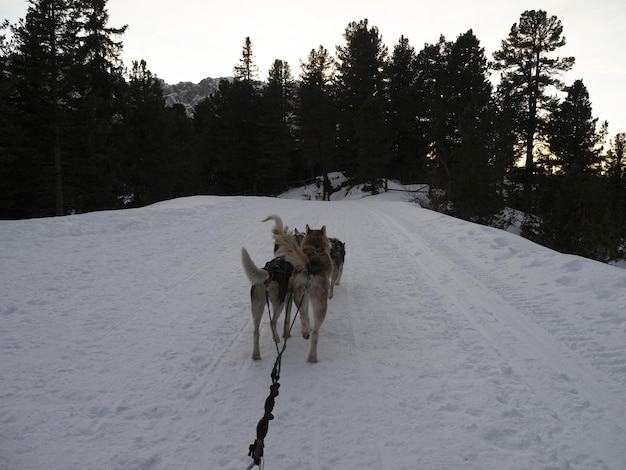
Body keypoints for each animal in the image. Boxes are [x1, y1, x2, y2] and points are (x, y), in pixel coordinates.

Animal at [266, 215, 332, 362]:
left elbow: (302, 315)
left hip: (298, 295)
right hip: (319, 303)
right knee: (316, 332)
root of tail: (309, 266)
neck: (316, 247)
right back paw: (312, 355)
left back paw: (305, 332)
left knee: (302, 315)